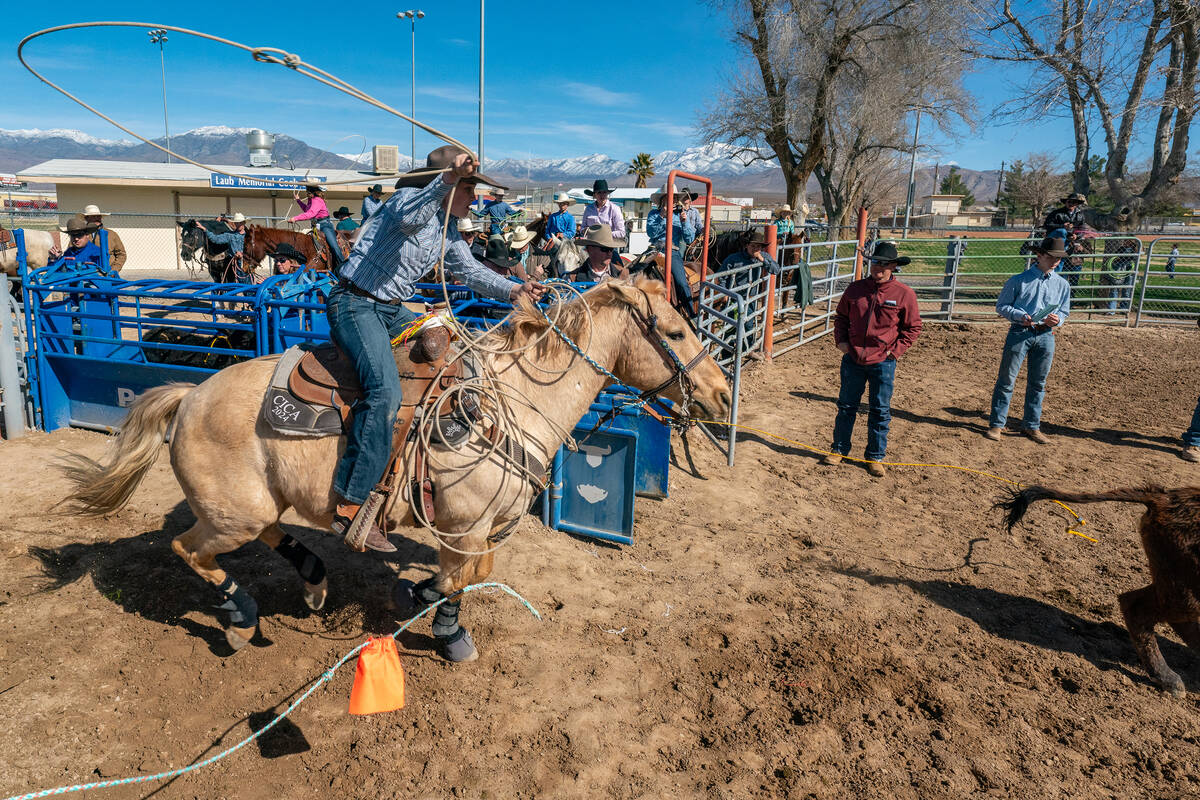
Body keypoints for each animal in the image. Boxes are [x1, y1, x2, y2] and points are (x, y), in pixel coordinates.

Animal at [63, 278, 729, 662]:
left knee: (270, 534)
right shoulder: (464, 526)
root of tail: (189, 397)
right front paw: (450, 634)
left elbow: (471, 575)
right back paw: (240, 618)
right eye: (674, 331)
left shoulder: (477, 532)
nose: (722, 395)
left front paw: (420, 593)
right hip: (232, 515)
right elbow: (464, 579)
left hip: (256, 505)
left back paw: (314, 581)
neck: (511, 401)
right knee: (189, 548)